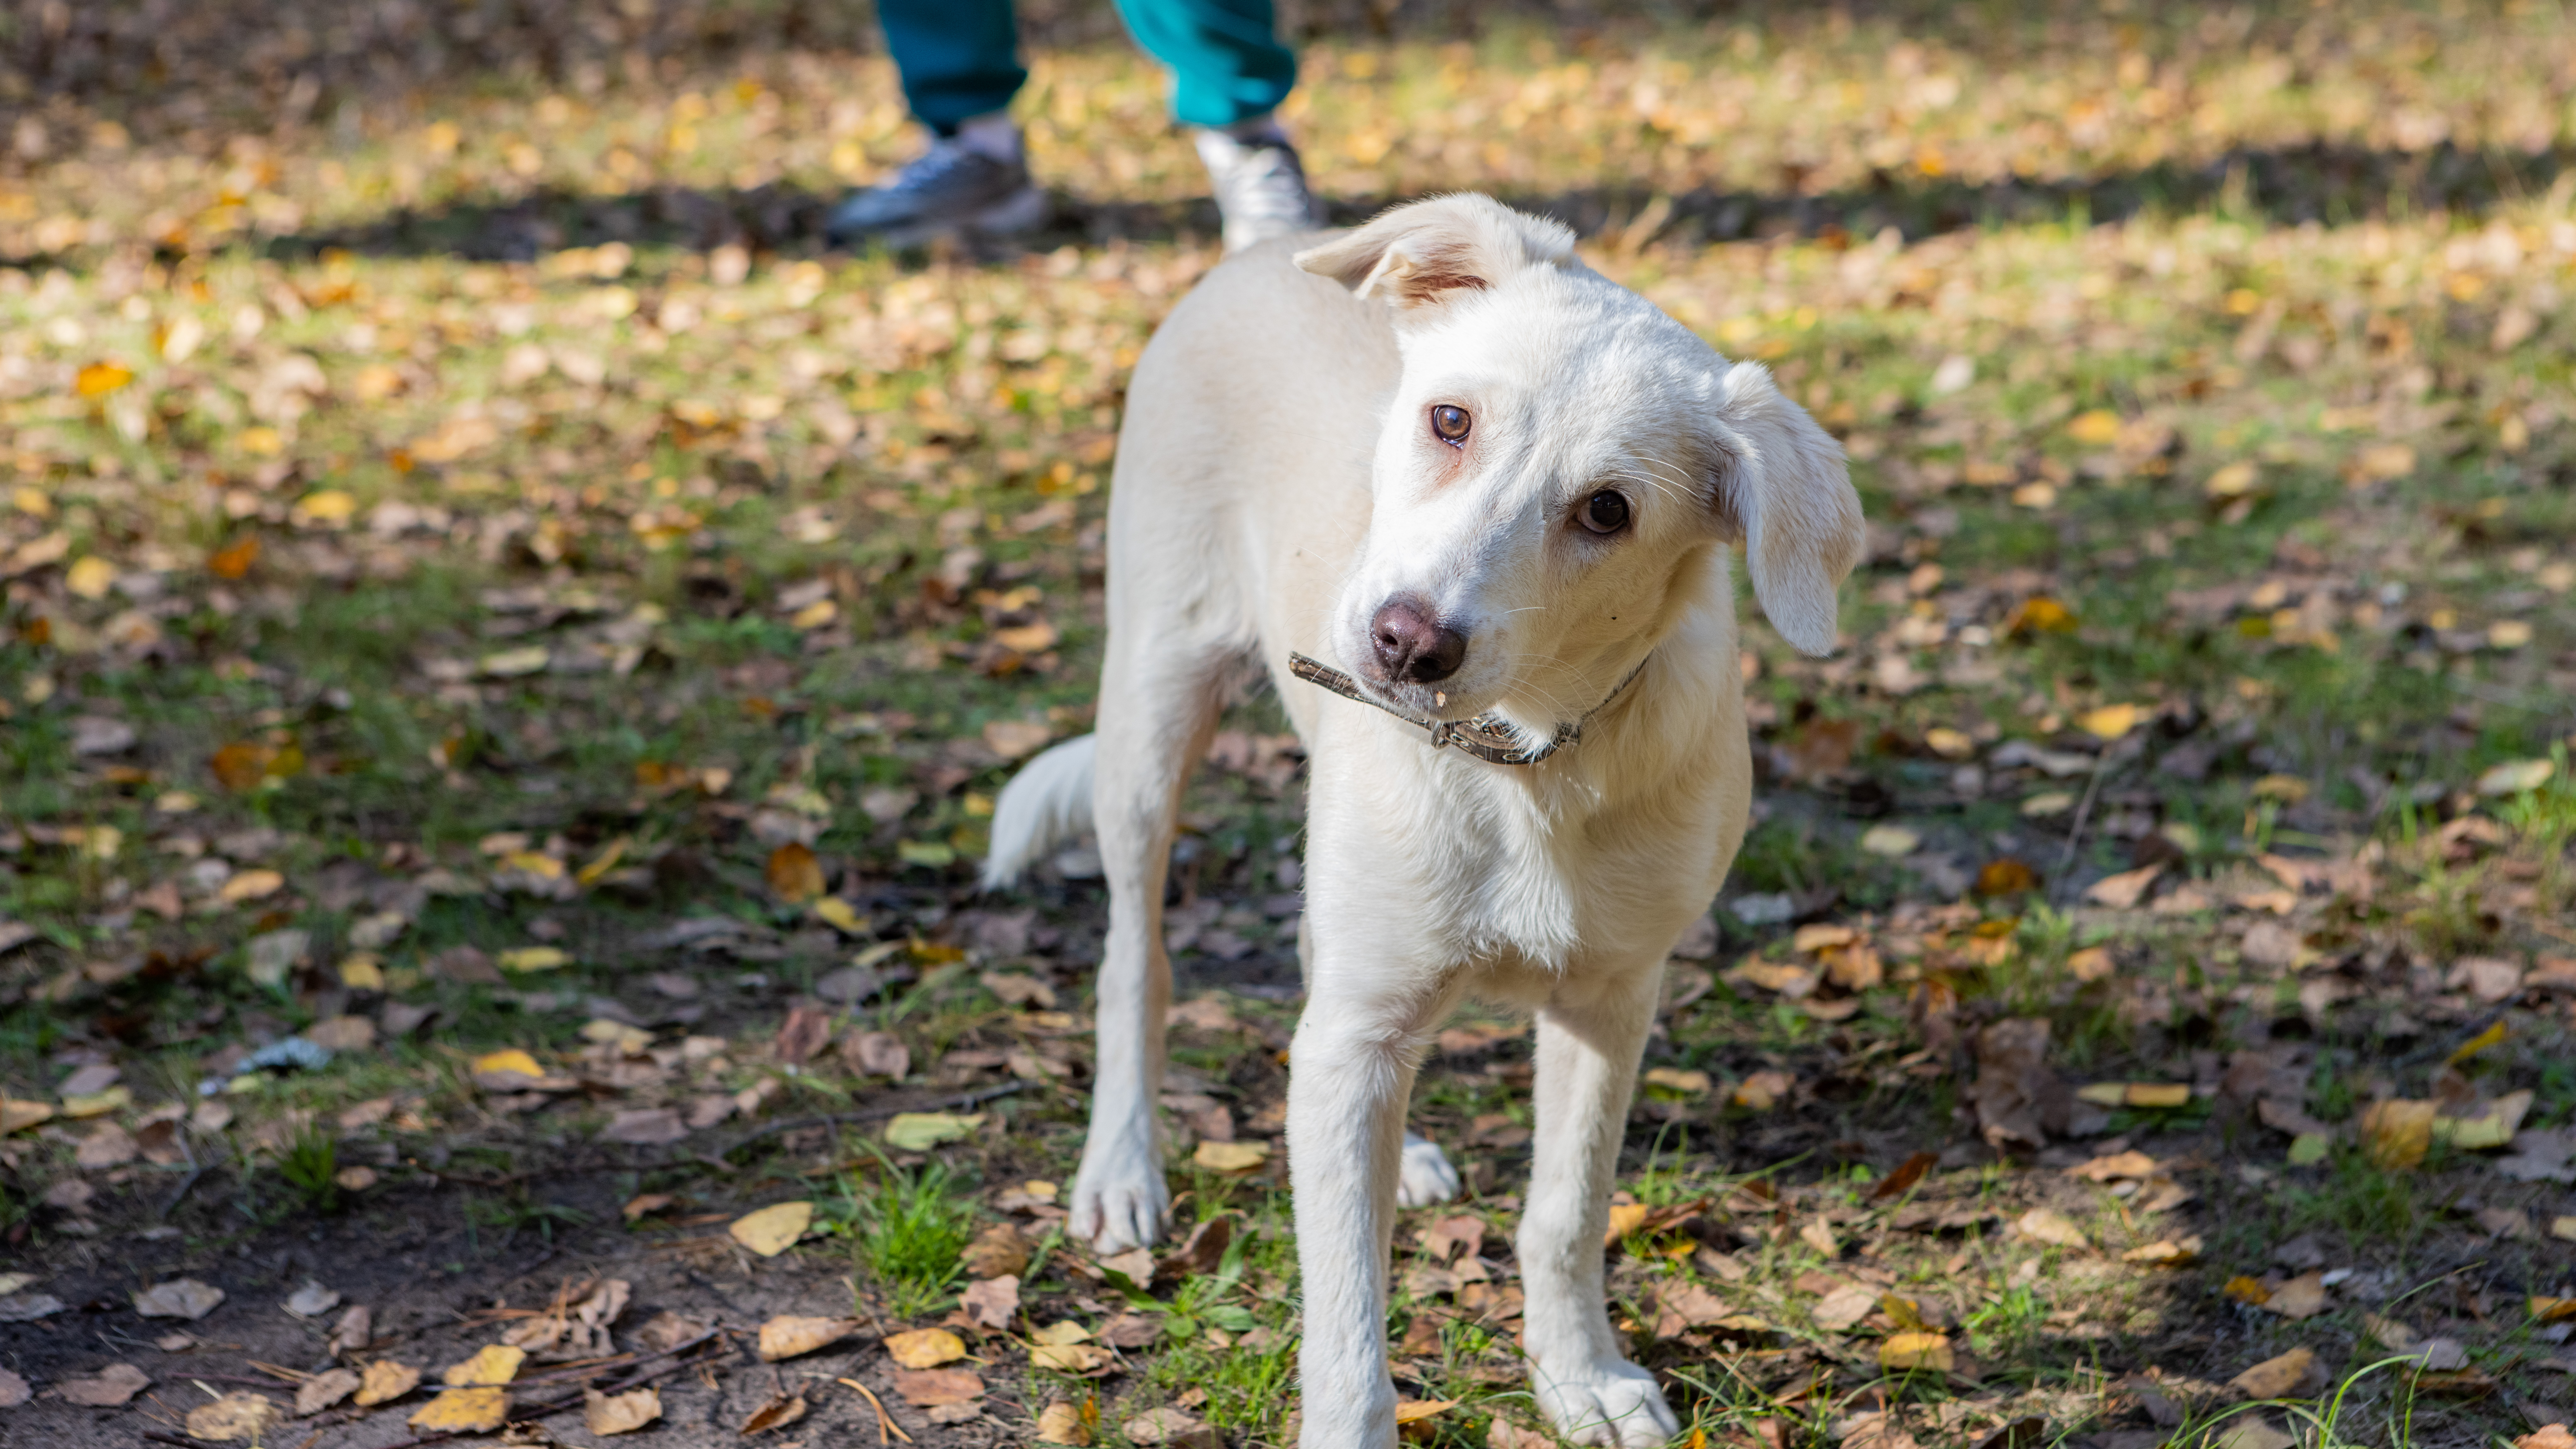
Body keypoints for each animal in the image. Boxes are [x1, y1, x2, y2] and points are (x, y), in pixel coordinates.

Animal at [979, 195, 1855, 1444]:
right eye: (1450, 420)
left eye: (1607, 510)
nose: (1406, 640)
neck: (1516, 758)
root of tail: (1270, 232)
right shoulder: (1358, 1040)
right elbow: (1347, 1297)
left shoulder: (1611, 1002)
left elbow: (1563, 1212)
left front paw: (1579, 1373)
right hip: (1150, 705)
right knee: (1133, 959)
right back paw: (1122, 1166)